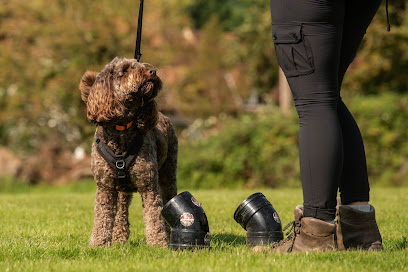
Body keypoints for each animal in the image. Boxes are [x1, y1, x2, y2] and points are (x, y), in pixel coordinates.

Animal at [79, 58, 177, 249]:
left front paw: (158, 245)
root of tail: (163, 115)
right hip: (122, 189)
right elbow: (102, 216)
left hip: (168, 175)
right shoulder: (105, 187)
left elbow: (154, 216)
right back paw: (119, 239)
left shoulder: (149, 185)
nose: (152, 72)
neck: (122, 128)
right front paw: (99, 244)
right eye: (124, 70)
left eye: (140, 66)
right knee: (121, 212)